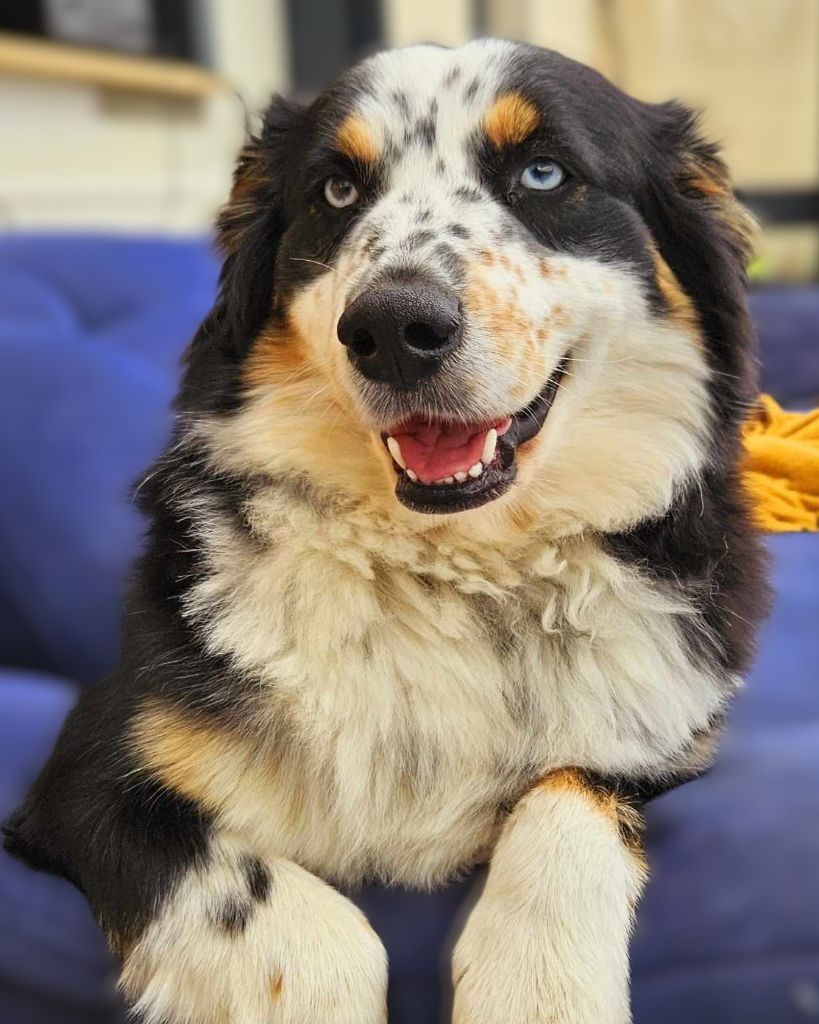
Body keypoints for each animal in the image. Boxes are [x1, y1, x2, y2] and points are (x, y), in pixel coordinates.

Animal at [3, 37, 769, 1024]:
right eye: (335, 191)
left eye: (544, 172)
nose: (393, 328)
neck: (453, 564)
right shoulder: (88, 775)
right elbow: (304, 937)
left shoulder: (660, 734)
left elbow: (567, 790)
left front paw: (536, 982)